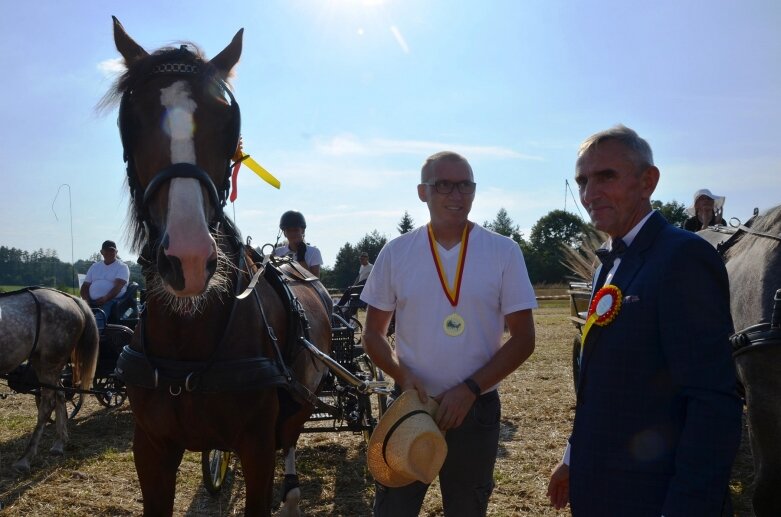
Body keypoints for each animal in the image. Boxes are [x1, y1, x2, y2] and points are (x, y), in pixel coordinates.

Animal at [0, 286, 99, 472]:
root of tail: (71, 299)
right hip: (46, 366)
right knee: (60, 395)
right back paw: (59, 443)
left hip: (48, 363)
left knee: (48, 404)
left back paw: (25, 458)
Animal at [105, 18, 330, 512]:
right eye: (132, 119)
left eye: (227, 121)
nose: (187, 258)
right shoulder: (149, 447)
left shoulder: (257, 446)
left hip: (300, 401)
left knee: (291, 439)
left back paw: (291, 493)